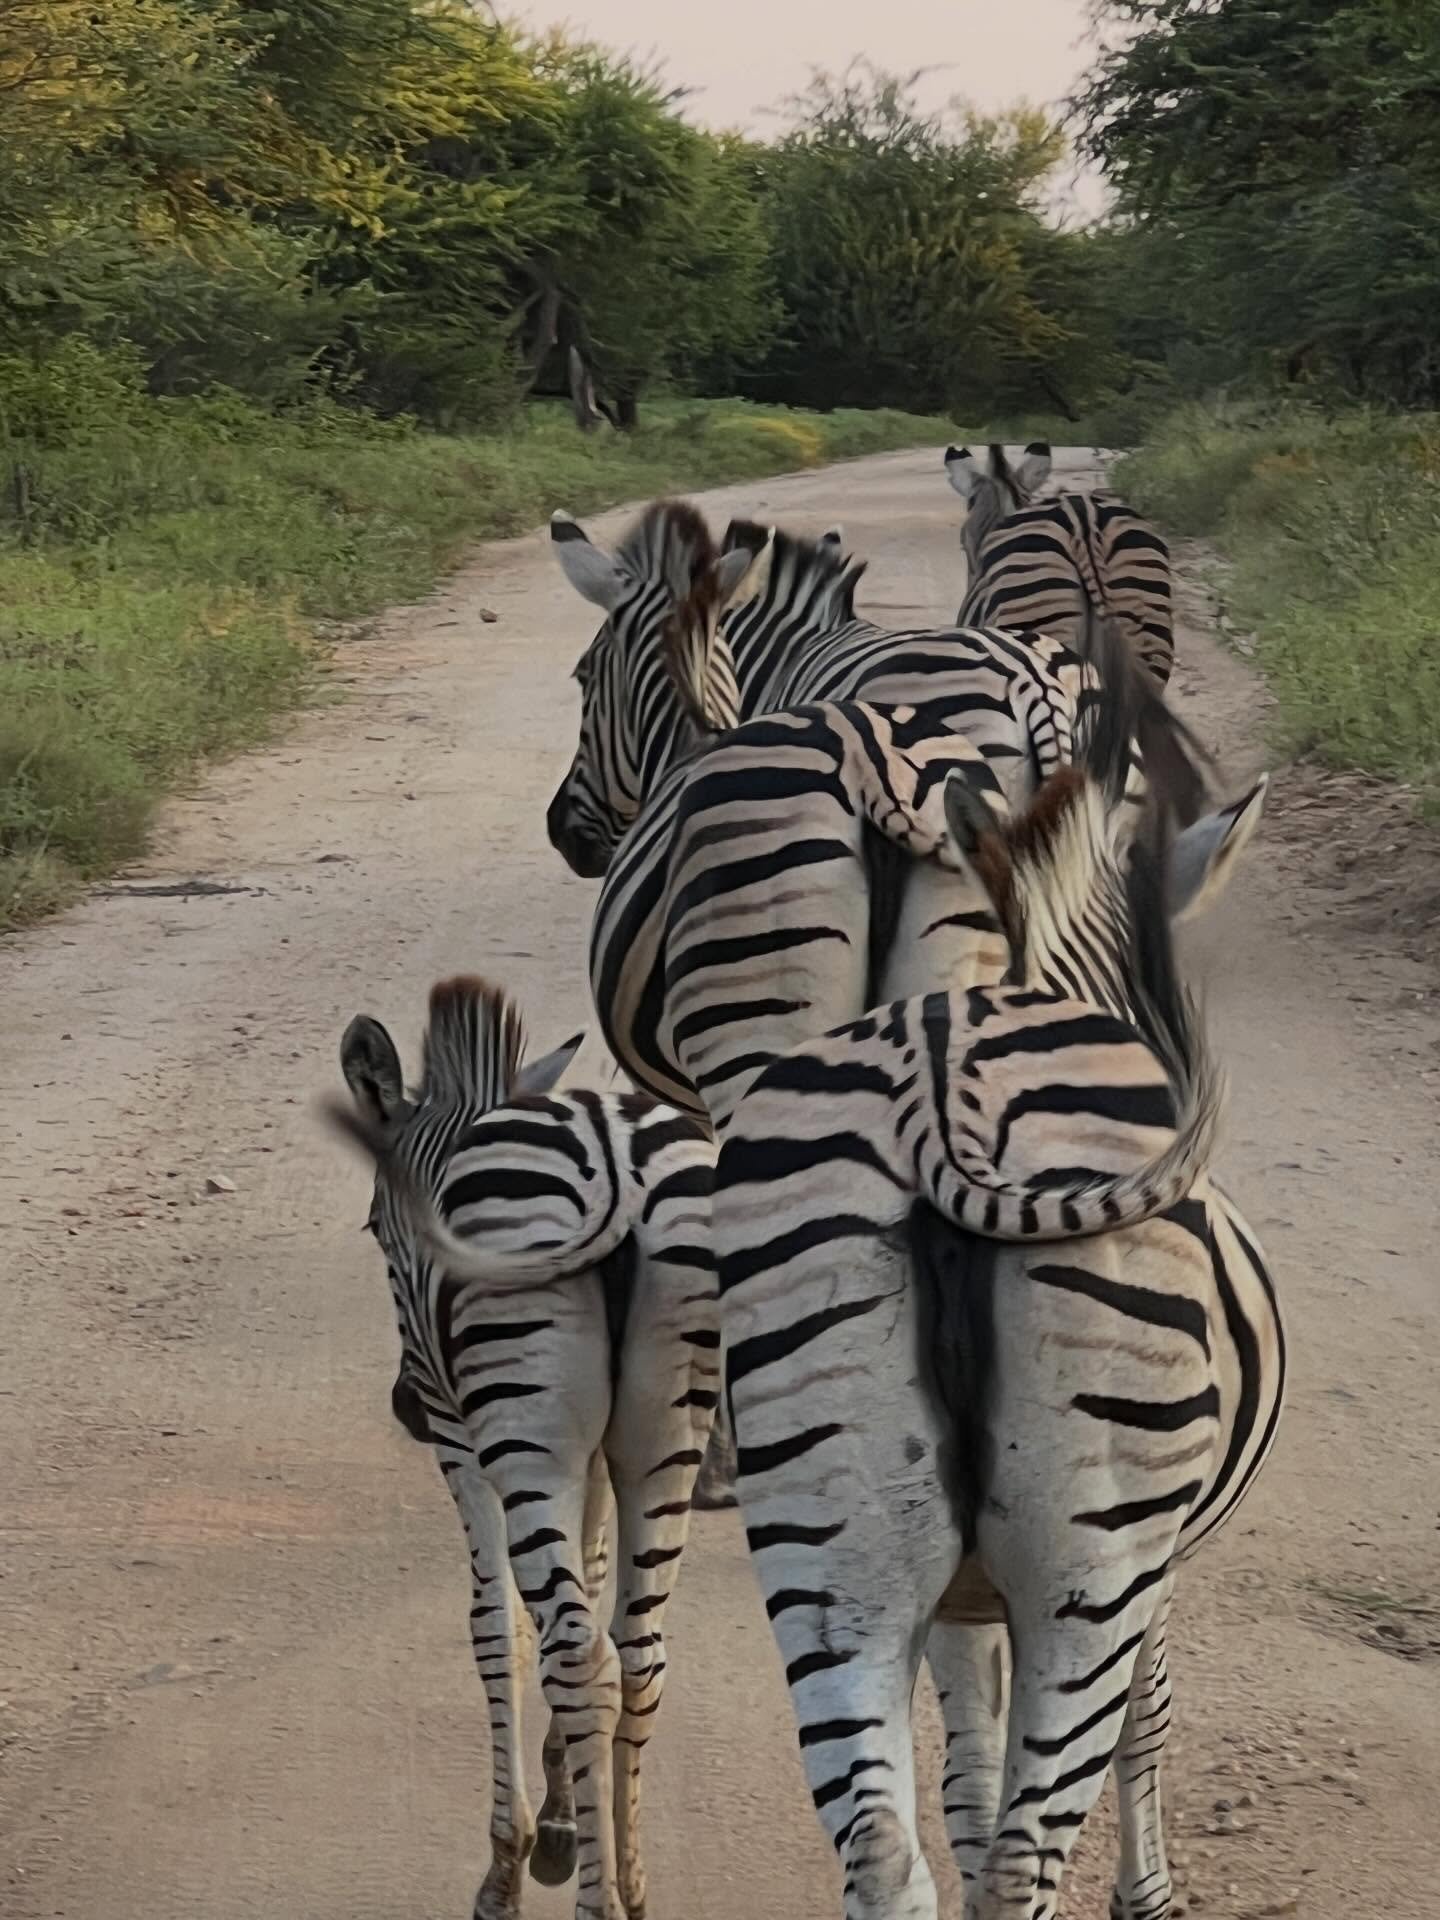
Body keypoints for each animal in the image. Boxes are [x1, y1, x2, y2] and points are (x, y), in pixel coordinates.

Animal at [324, 977, 717, 1920]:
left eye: (374, 1228)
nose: (403, 1407)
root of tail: (619, 1165)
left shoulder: (464, 1442)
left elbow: (496, 1626)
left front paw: (510, 1860)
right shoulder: (599, 1461)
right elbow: (595, 1582)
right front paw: (571, 1810)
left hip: (521, 1432)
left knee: (577, 1650)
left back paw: (591, 1901)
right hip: (666, 1440)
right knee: (636, 1652)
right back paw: (632, 1884)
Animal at [711, 708, 1282, 1920]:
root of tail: (942, 1099)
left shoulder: (959, 1601)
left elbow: (967, 1773)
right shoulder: (1155, 1561)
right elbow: (1145, 1722)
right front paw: (1146, 1897)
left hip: (826, 1553)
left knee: (883, 1851)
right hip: (1094, 1569)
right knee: (1029, 1850)